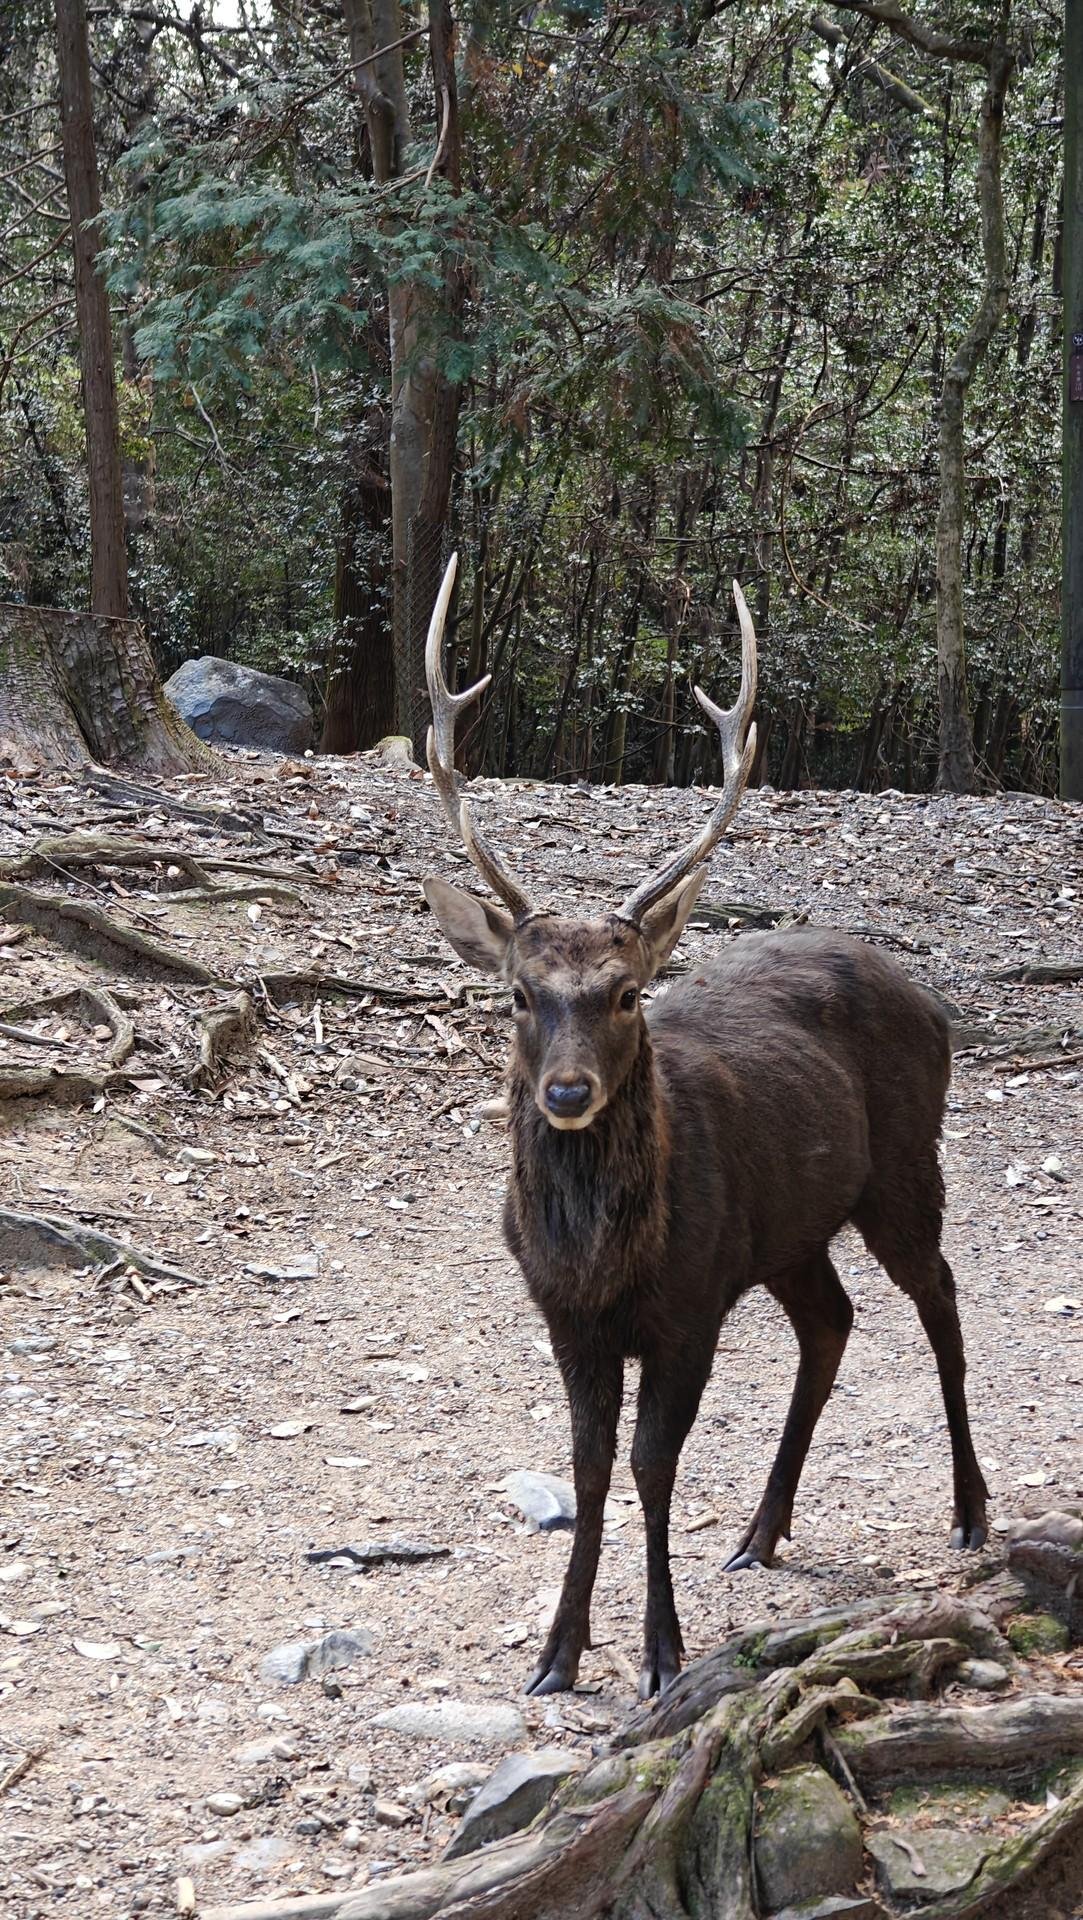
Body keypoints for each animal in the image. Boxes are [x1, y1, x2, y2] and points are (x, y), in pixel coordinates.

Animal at [421, 555, 989, 1700]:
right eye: (519, 993)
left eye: (627, 992)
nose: (567, 1093)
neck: (604, 1260)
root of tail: (925, 994)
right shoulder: (564, 1316)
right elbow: (590, 1463)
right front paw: (556, 1655)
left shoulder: (687, 1306)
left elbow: (652, 1463)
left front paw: (662, 1654)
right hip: (787, 1232)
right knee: (831, 1319)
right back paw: (760, 1533)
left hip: (906, 1167)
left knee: (940, 1301)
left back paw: (968, 1512)